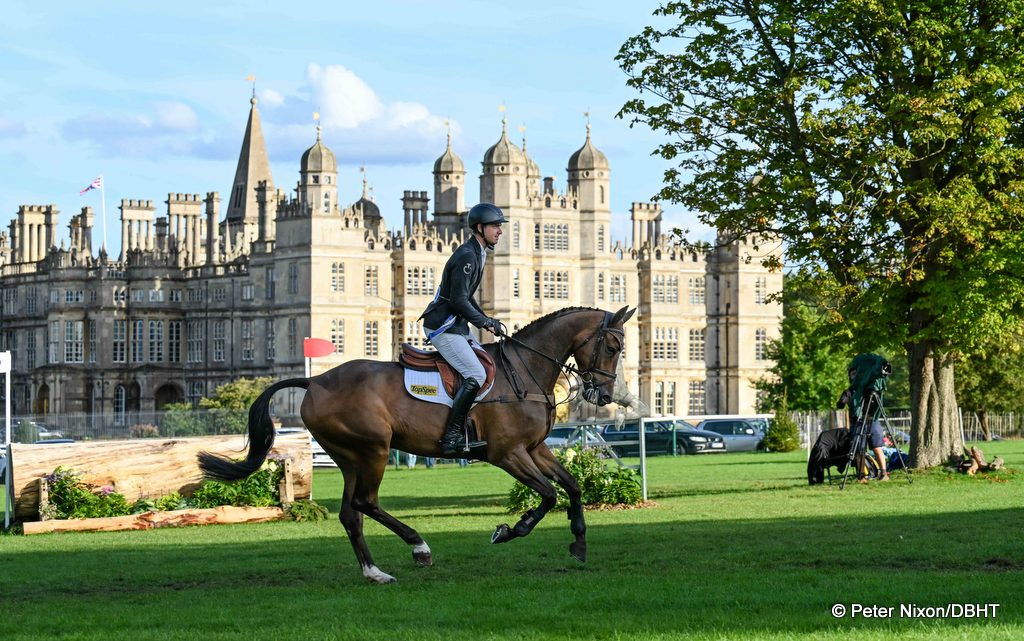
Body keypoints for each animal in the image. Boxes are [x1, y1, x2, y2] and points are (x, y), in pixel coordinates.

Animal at [198, 305, 635, 584]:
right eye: (613, 348)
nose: (603, 396)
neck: (524, 371)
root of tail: (315, 380)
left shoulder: (533, 449)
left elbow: (571, 486)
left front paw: (579, 543)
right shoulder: (507, 454)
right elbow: (547, 495)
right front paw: (510, 530)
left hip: (348, 457)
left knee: (351, 514)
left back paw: (374, 573)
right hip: (373, 451)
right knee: (366, 503)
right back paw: (419, 547)